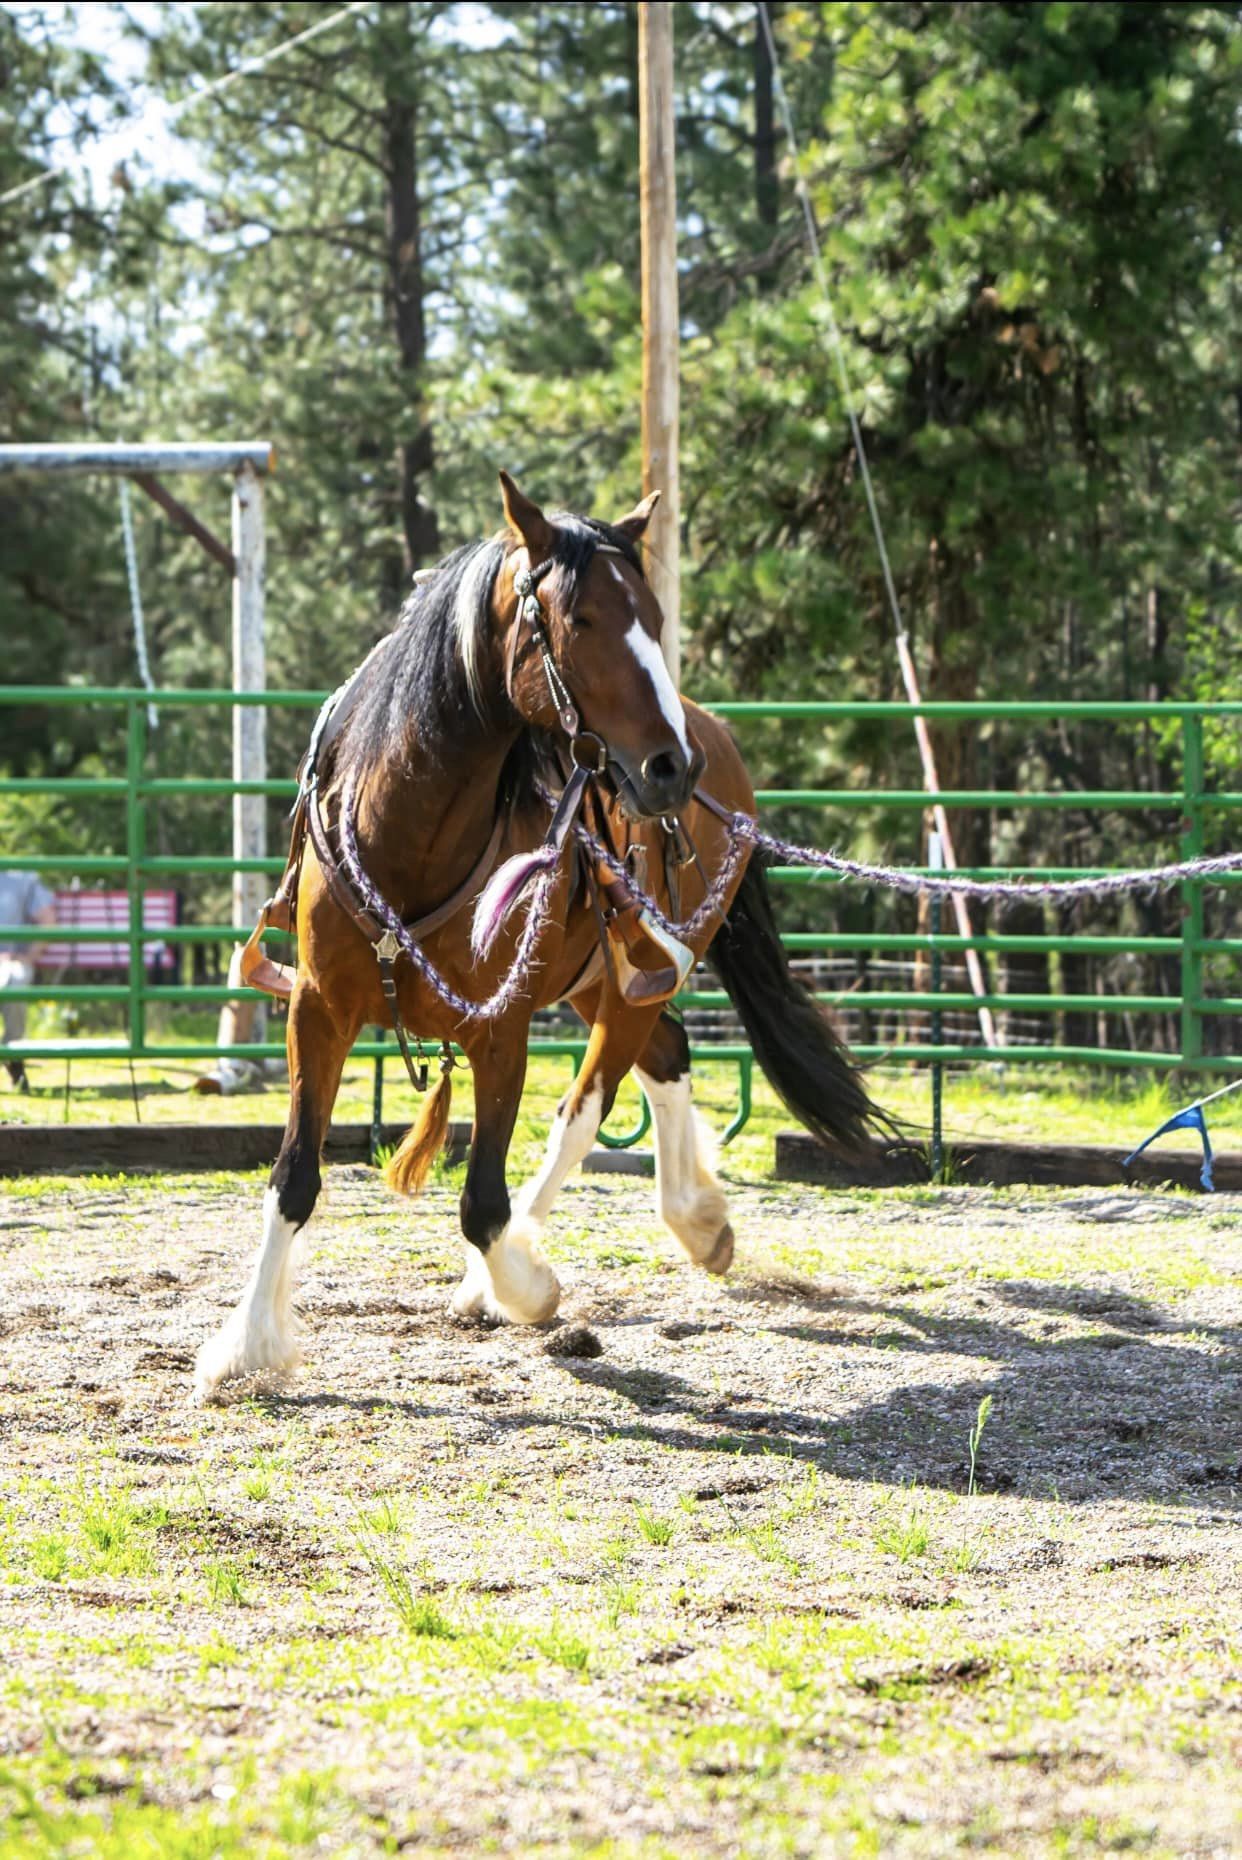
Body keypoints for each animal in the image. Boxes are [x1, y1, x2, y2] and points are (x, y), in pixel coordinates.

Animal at [194, 472, 877, 1398]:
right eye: (580, 619)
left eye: (653, 618)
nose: (671, 768)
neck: (409, 837)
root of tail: (718, 741)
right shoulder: (317, 1008)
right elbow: (295, 1174)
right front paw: (248, 1346)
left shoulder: (502, 1026)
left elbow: (485, 1202)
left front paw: (523, 1285)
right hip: (603, 975)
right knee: (667, 1056)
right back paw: (698, 1218)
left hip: (634, 975)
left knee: (587, 1104)